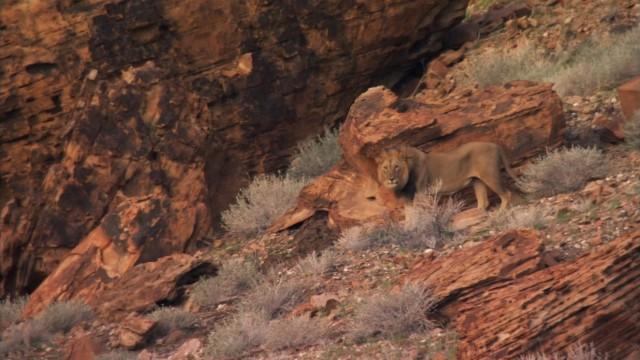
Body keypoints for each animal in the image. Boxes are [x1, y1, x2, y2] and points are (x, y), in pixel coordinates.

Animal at [376, 141, 520, 210]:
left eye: (396, 167)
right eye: (385, 168)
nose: (391, 179)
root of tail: (495, 145)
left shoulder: (422, 194)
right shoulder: (408, 199)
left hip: (490, 176)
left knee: (506, 194)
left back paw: (499, 214)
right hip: (477, 181)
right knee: (483, 202)